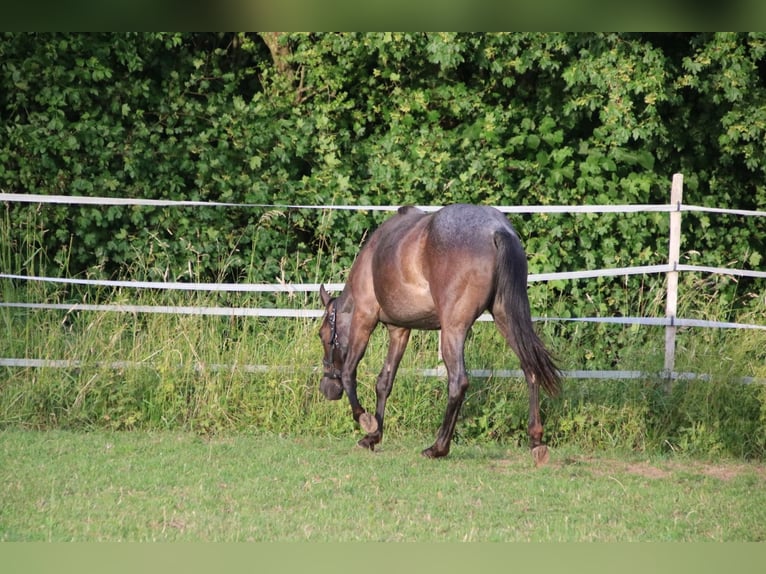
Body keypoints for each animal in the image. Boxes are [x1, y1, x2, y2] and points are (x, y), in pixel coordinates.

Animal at [318, 204, 562, 464]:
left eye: (322, 334)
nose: (327, 389)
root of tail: (497, 230)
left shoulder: (365, 317)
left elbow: (348, 372)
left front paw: (365, 420)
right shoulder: (399, 330)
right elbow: (384, 382)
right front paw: (373, 437)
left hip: (453, 329)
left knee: (458, 382)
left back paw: (438, 447)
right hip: (505, 317)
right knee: (530, 369)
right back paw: (536, 441)